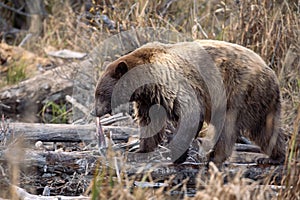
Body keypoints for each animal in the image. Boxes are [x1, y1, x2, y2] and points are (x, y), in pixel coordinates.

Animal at [94, 39, 286, 165]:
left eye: (101, 93)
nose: (94, 111)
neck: (145, 81)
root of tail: (271, 73)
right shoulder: (149, 98)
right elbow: (150, 122)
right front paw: (140, 148)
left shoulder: (173, 83)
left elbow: (190, 115)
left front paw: (177, 155)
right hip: (260, 101)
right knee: (266, 130)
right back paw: (273, 157)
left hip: (238, 91)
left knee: (228, 127)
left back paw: (214, 157)